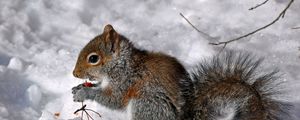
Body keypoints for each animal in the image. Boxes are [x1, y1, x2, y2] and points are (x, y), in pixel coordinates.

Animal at [72, 24, 290, 120]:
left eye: (93, 58)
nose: (74, 74)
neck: (122, 64)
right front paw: (79, 87)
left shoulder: (126, 81)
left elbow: (114, 99)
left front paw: (85, 92)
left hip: (146, 104)